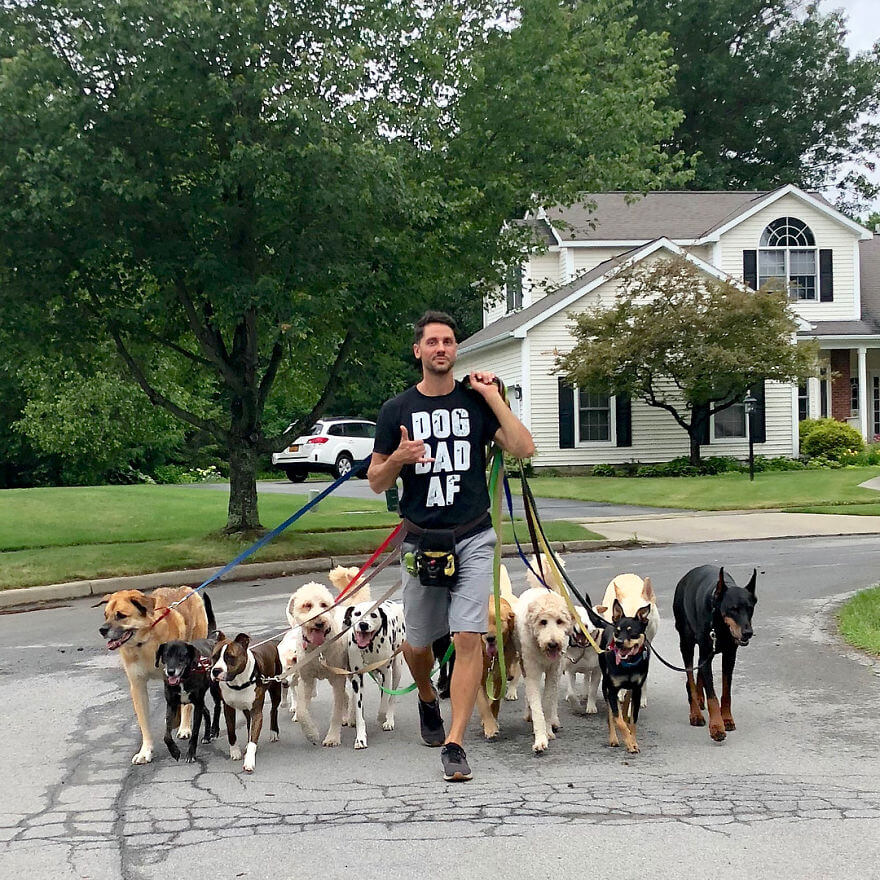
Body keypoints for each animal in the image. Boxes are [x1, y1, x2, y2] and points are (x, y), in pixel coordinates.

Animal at [98, 588, 215, 768]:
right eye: (105, 615)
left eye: (121, 615)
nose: (102, 630)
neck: (143, 643)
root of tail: (186, 589)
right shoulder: (137, 686)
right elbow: (144, 722)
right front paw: (145, 751)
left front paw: (180, 724)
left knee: (189, 706)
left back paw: (184, 726)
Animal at [211, 632, 282, 768]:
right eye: (214, 657)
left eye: (230, 657)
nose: (216, 671)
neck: (238, 683)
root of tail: (269, 641)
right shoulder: (228, 708)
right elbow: (231, 731)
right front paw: (235, 751)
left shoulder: (257, 711)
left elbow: (254, 738)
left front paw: (249, 761)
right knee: (249, 721)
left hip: (276, 689)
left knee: (274, 710)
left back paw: (274, 732)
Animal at [344, 600, 406, 748]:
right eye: (357, 613)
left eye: (373, 614)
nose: (363, 625)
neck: (369, 648)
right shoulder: (357, 679)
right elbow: (360, 711)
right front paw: (360, 738)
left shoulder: (387, 673)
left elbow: (385, 701)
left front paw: (382, 717)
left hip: (397, 669)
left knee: (391, 697)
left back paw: (389, 719)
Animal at [588, 600, 648, 756]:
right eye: (618, 631)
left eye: (632, 632)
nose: (619, 642)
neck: (628, 664)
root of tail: (609, 623)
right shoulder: (612, 690)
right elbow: (617, 719)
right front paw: (629, 743)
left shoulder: (637, 690)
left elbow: (633, 721)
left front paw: (633, 741)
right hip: (605, 686)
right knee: (611, 715)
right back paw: (614, 739)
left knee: (625, 702)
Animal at [672, 564, 756, 744]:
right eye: (733, 609)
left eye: (750, 609)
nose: (748, 633)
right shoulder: (705, 651)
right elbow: (713, 696)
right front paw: (717, 726)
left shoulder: (730, 655)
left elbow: (726, 691)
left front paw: (727, 718)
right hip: (686, 643)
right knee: (690, 676)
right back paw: (695, 712)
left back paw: (699, 697)